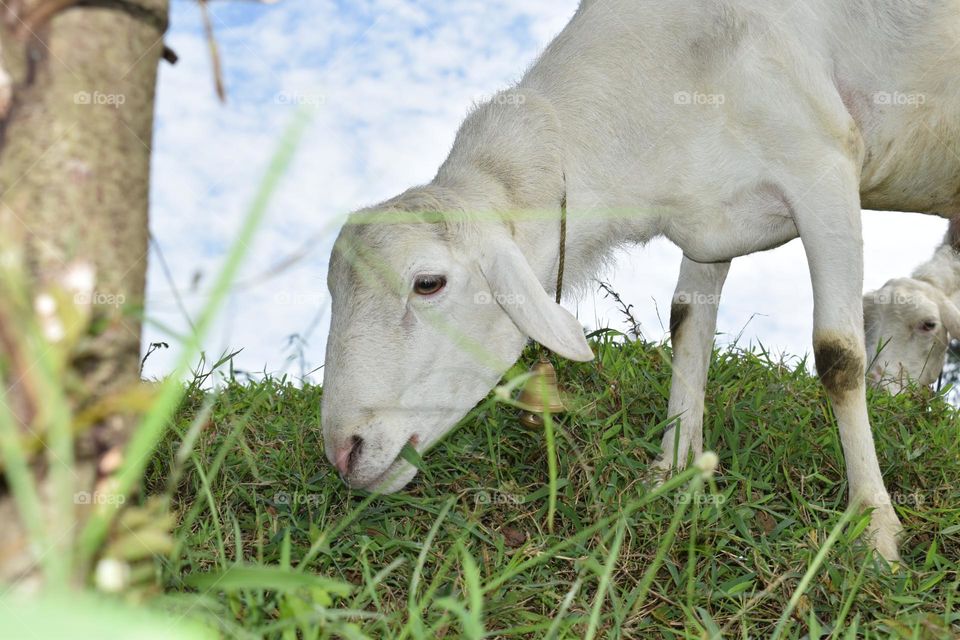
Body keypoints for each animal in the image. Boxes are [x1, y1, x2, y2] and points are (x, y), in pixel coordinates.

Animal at [322, 0, 960, 563]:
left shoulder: (822, 168)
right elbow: (687, 328)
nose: (342, 453)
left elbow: (839, 359)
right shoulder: (709, 216)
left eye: (428, 283)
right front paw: (671, 469)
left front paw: (872, 525)